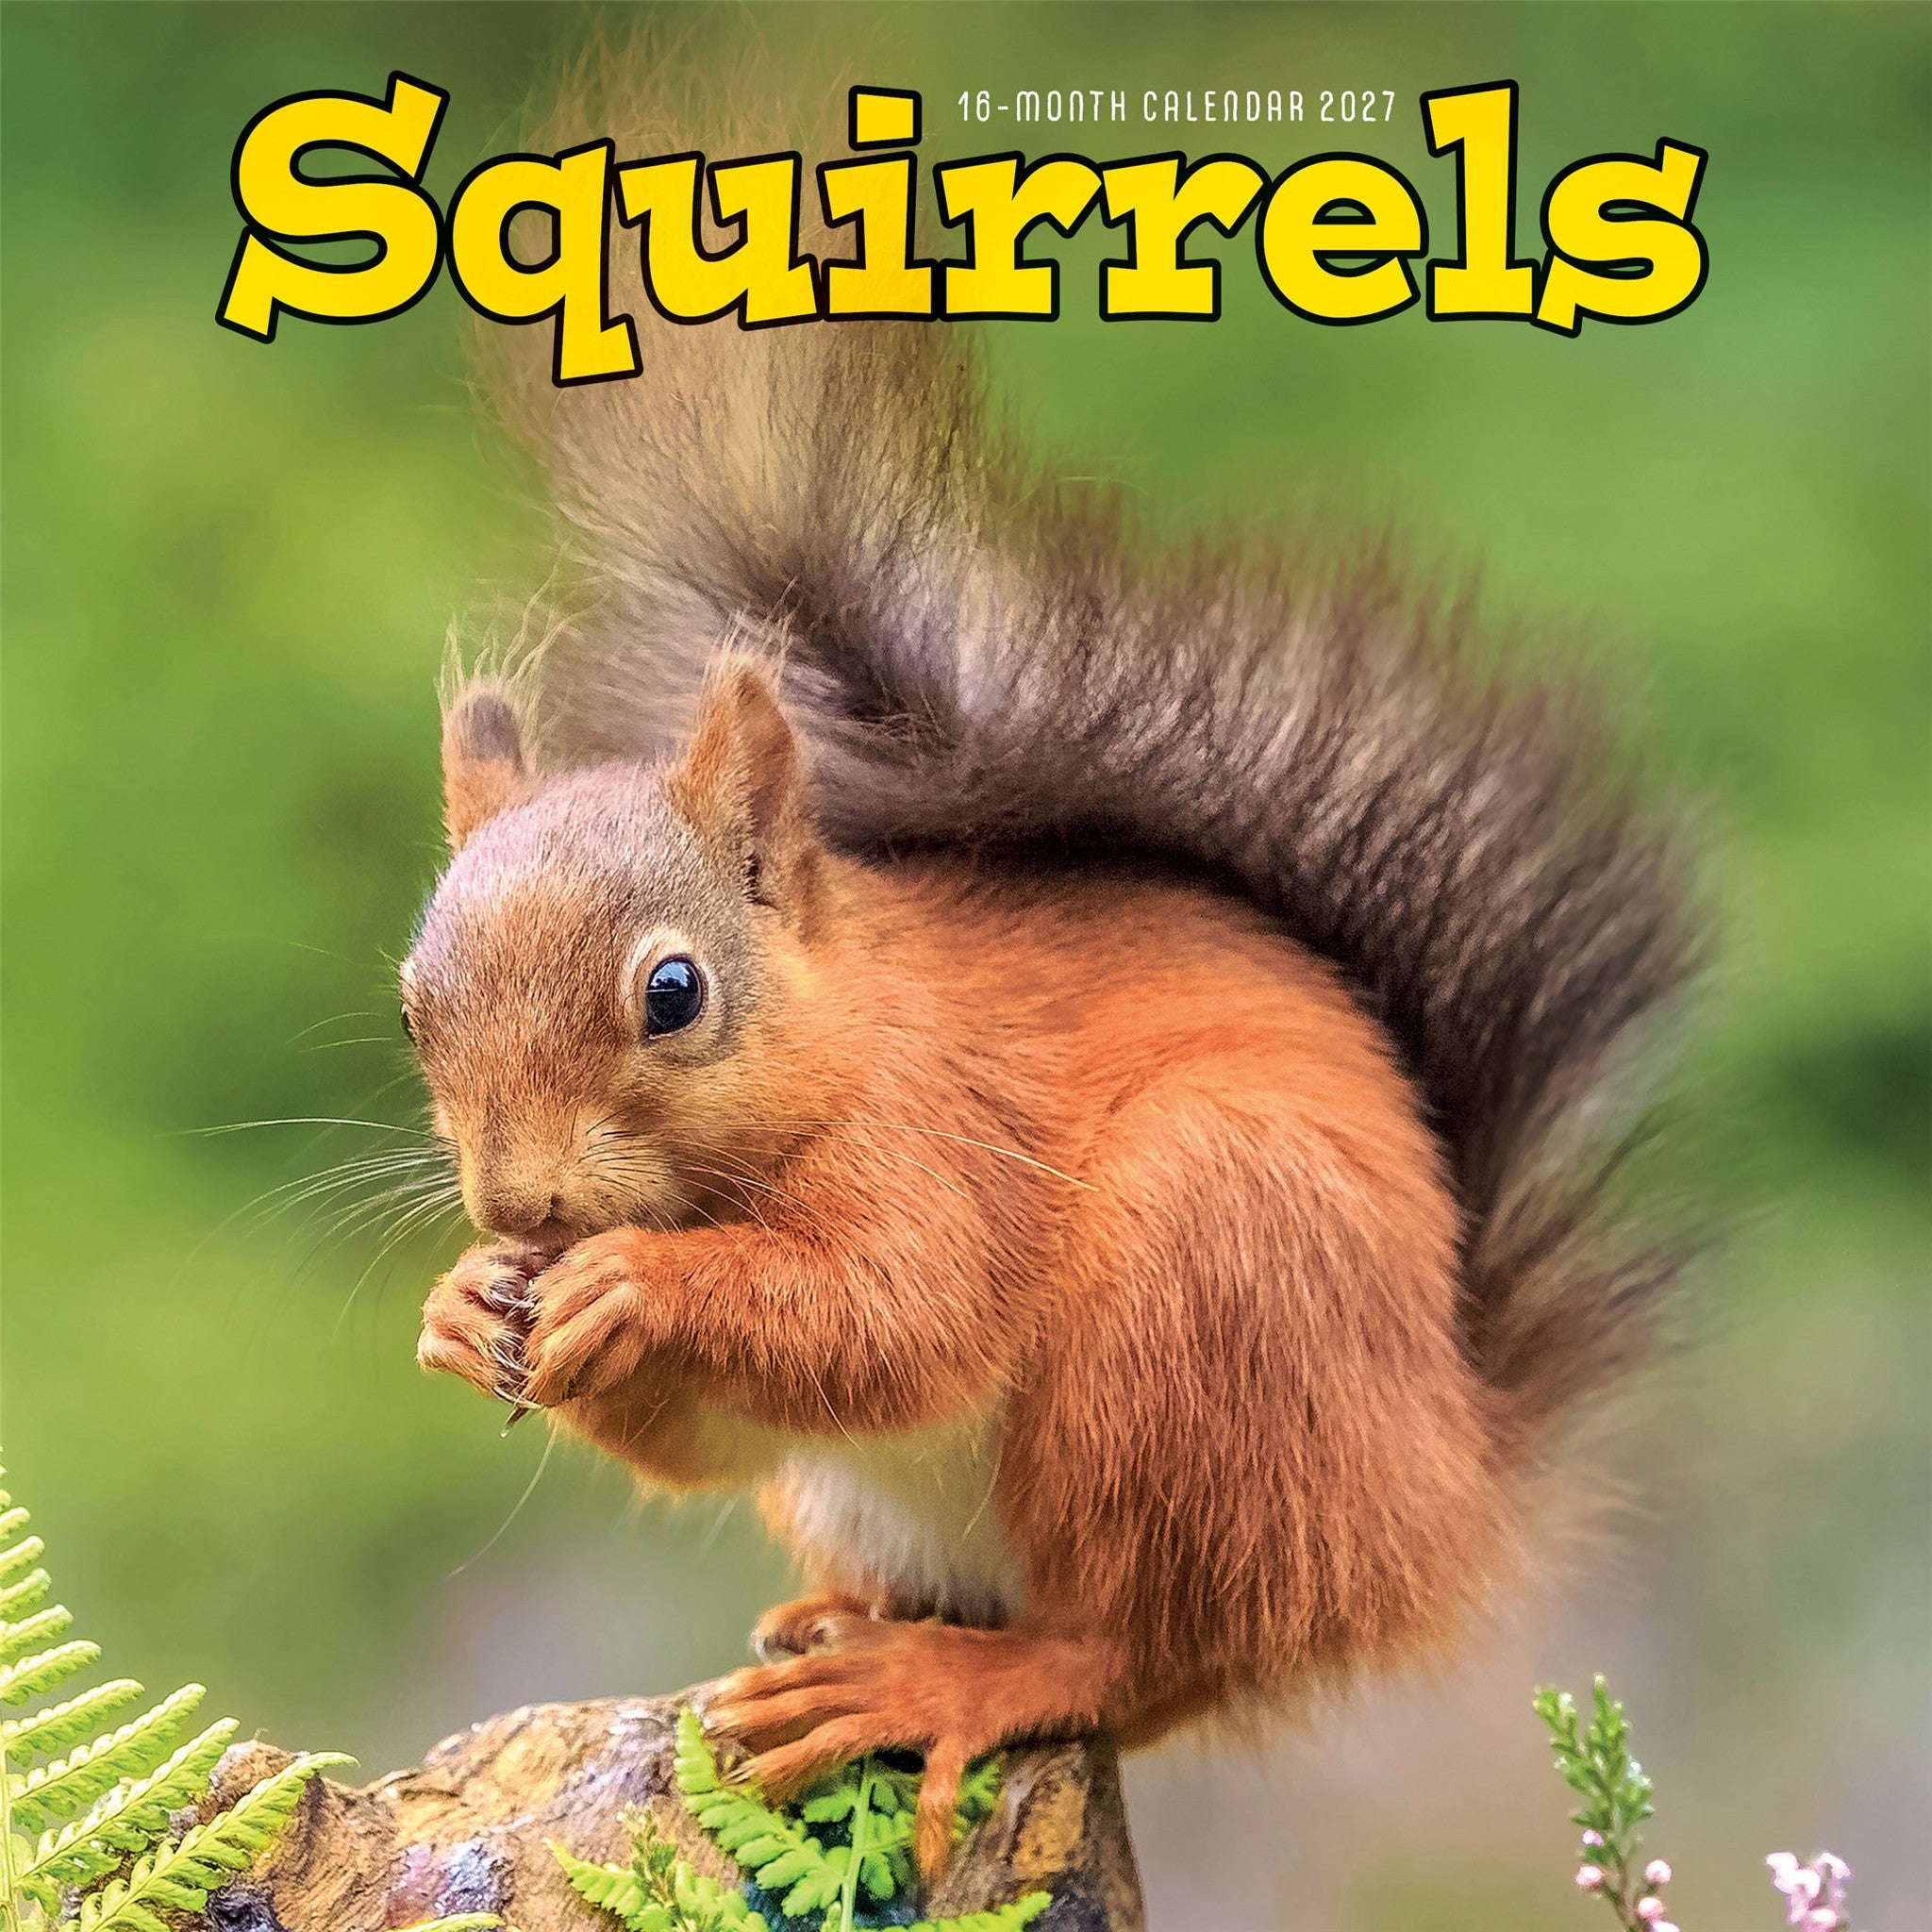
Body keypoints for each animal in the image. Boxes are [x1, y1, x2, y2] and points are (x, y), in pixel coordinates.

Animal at [404, 52, 1697, 1879]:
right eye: (412, 1007)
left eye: (673, 993)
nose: (516, 1208)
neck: (842, 1039)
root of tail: (1441, 1494)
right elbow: (714, 1430)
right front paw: (466, 1309)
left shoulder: (948, 1137)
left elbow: (896, 1312)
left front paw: (637, 1284)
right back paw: (844, 1624)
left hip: (1201, 1293)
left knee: (1129, 1649)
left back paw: (932, 1680)